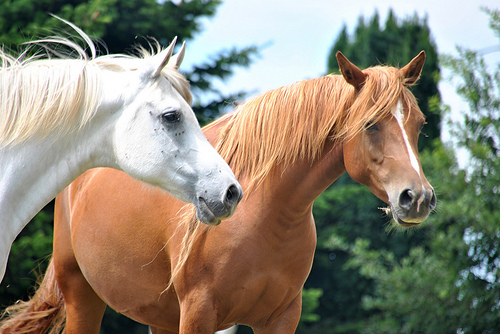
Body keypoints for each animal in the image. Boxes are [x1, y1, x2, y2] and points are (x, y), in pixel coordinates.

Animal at [1, 51, 436, 332]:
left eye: (418, 123)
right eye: (371, 124)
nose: (417, 198)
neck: (268, 213)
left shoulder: (280, 318)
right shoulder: (199, 313)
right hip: (82, 297)